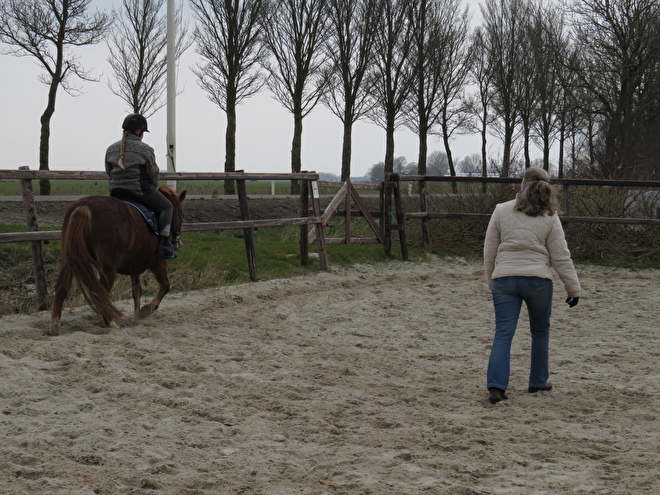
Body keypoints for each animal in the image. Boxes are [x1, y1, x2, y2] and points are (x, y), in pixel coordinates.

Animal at [48, 186, 186, 338]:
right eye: (182, 213)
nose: (178, 243)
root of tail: (85, 206)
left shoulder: (135, 267)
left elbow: (136, 292)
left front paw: (136, 317)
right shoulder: (157, 262)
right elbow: (165, 285)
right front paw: (147, 309)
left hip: (69, 260)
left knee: (62, 288)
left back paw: (55, 326)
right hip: (108, 268)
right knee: (101, 294)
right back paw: (110, 323)